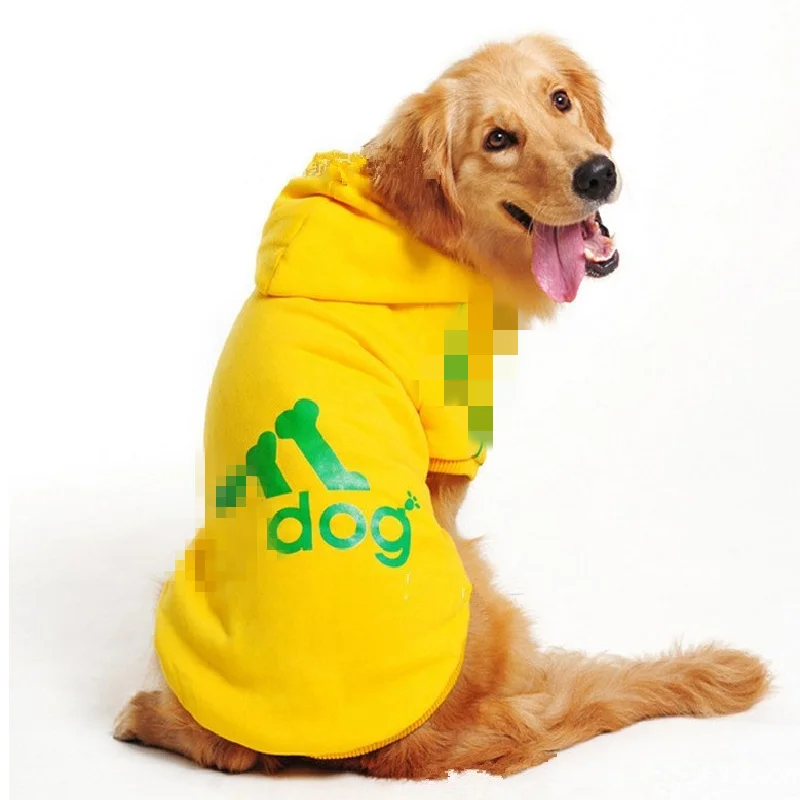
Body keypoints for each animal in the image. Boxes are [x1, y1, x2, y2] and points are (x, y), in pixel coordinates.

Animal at [113, 33, 769, 779]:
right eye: (498, 139)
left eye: (560, 100)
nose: (598, 174)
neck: (422, 229)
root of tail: (402, 751)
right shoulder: (455, 442)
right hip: (479, 587)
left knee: (223, 749)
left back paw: (143, 715)